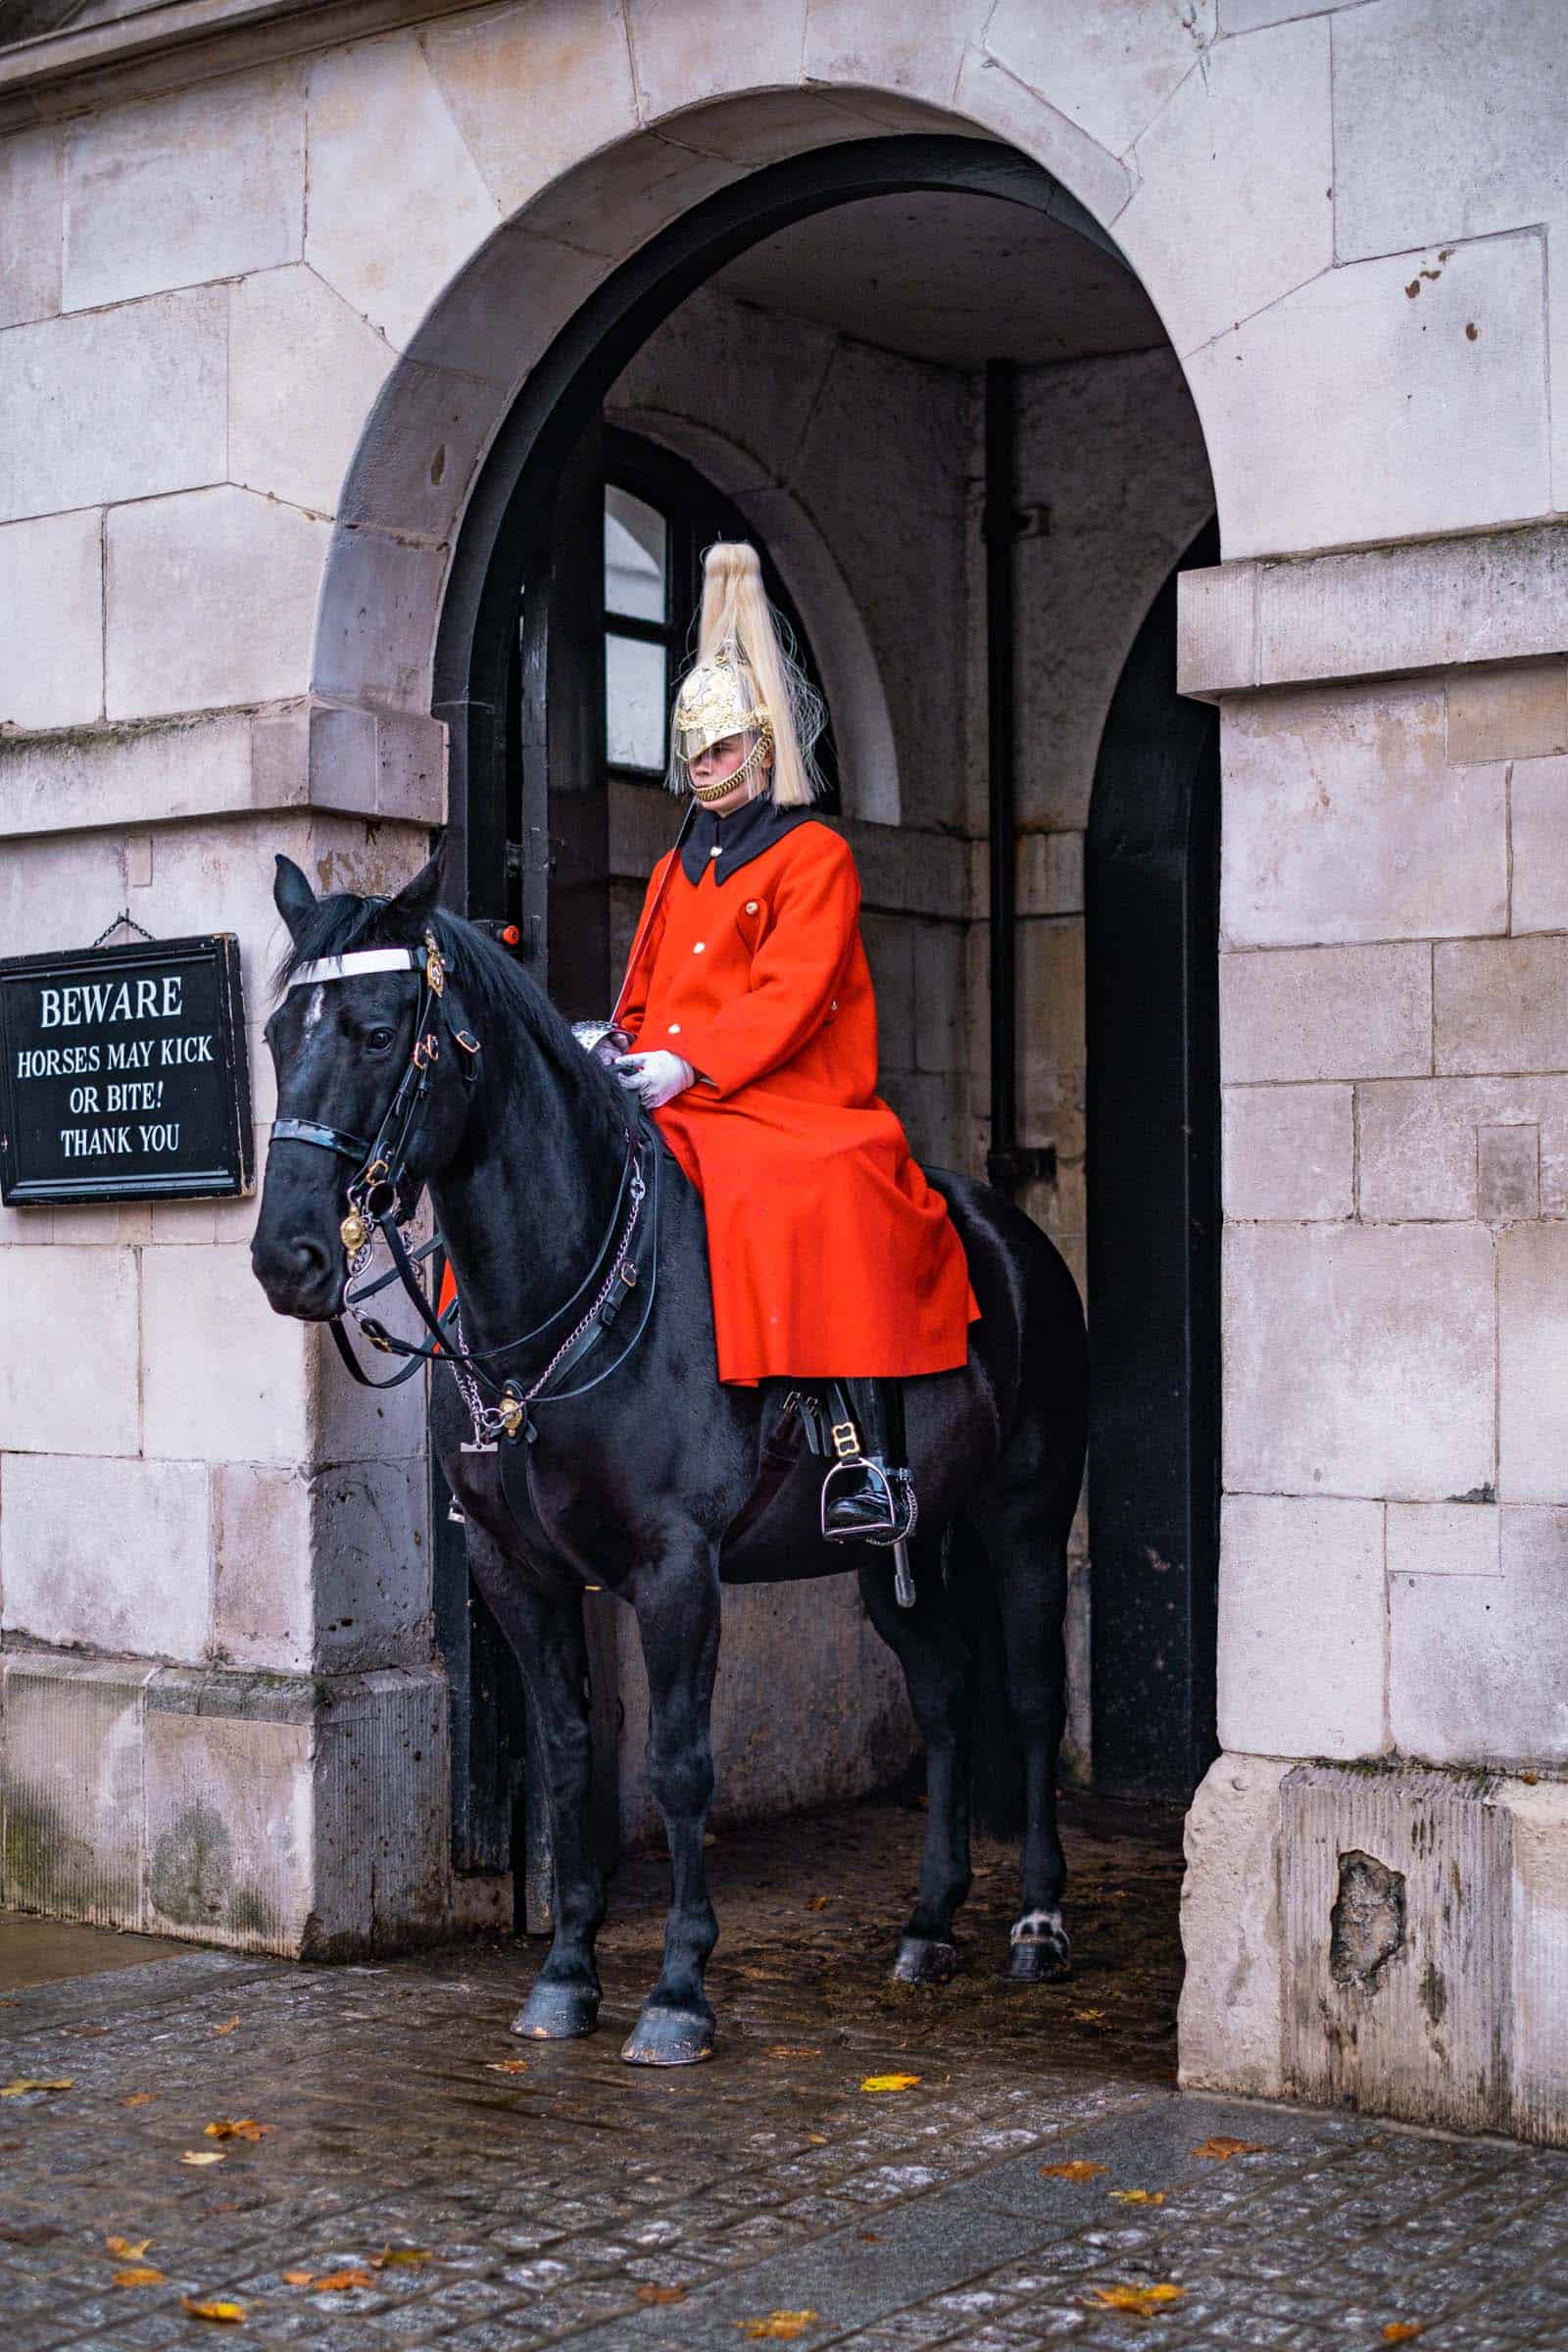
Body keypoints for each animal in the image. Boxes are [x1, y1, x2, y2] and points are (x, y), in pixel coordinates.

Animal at [255, 856, 1091, 2070]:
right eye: (278, 1034)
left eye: (372, 1031)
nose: (290, 1258)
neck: (557, 1298)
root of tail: (1008, 1231)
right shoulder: (514, 1569)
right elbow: (566, 1757)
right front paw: (565, 1972)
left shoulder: (674, 1566)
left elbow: (678, 1764)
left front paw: (679, 1990)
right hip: (894, 1546)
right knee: (940, 1693)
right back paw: (930, 1922)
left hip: (1022, 1513)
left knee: (1028, 1697)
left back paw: (1035, 1921)